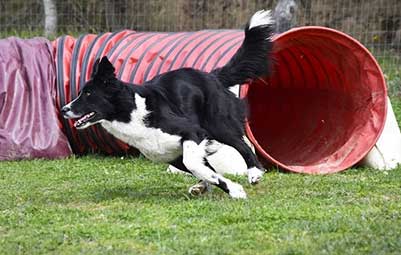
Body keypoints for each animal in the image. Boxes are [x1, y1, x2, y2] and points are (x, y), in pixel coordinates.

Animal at [61, 10, 276, 199]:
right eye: (80, 92)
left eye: (88, 94)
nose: (64, 109)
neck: (131, 111)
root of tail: (211, 75)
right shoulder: (171, 155)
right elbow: (206, 171)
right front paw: (225, 188)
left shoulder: (193, 132)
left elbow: (196, 165)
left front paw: (236, 191)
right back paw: (202, 186)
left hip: (219, 124)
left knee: (243, 146)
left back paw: (254, 173)